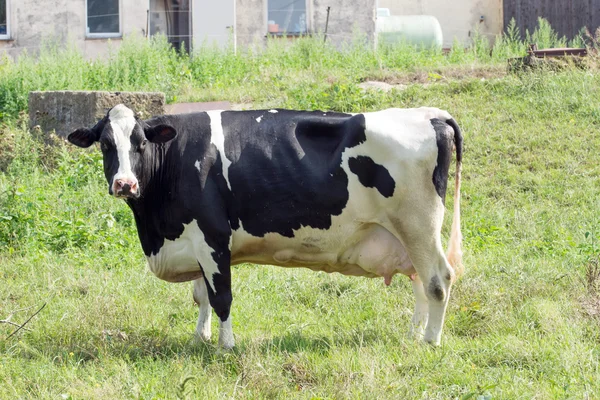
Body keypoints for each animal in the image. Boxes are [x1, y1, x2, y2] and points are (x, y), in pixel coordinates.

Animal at [69, 104, 464, 348]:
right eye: (105, 144)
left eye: (140, 143)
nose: (124, 184)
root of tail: (432, 114)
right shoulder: (195, 241)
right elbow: (201, 295)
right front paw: (200, 338)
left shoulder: (213, 237)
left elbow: (222, 297)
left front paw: (226, 346)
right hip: (405, 235)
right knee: (419, 280)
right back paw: (413, 334)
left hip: (418, 224)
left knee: (437, 280)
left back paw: (431, 341)